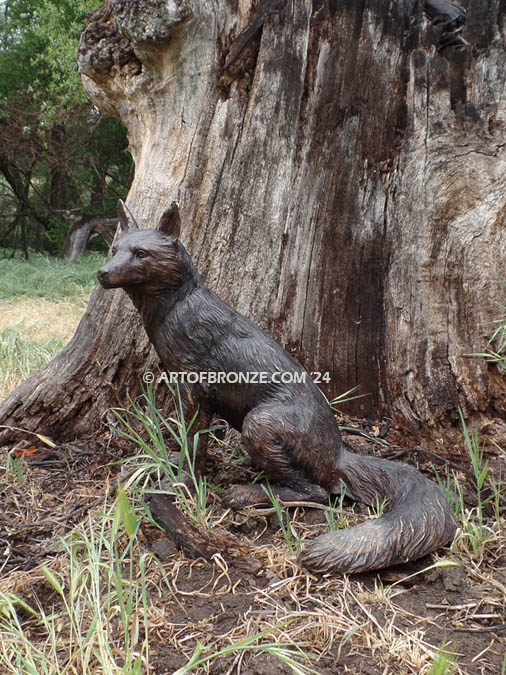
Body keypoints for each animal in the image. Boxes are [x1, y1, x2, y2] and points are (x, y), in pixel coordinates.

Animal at [97, 201, 457, 574]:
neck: (177, 308)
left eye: (141, 253)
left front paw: (183, 481)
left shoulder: (196, 390)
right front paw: (167, 464)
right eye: (114, 249)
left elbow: (194, 445)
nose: (102, 273)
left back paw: (251, 493)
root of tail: (339, 455)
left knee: (317, 492)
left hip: (259, 424)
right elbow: (185, 441)